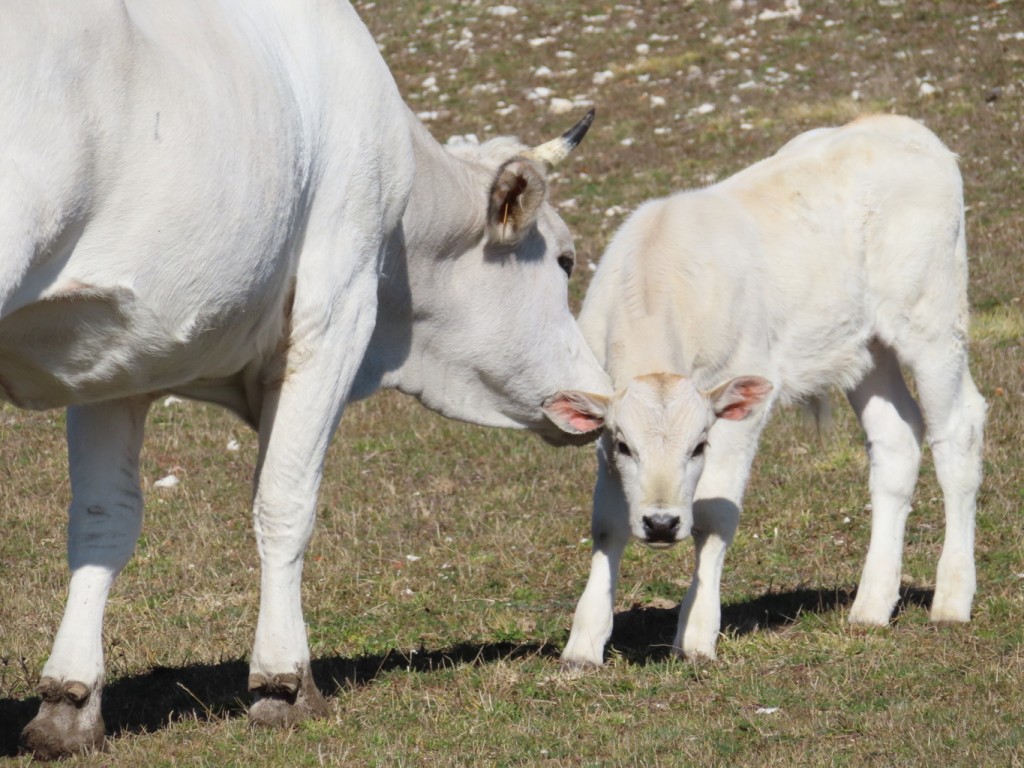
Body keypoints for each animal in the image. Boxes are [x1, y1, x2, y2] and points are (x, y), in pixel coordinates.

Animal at [2, 0, 606, 757]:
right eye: (565, 259)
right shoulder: (335, 310)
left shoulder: (114, 359)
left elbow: (102, 520)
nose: (602, 392)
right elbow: (286, 500)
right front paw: (283, 682)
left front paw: (69, 702)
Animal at [548, 112, 987, 667]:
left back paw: (952, 597)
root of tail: (901, 125)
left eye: (699, 446)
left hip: (932, 318)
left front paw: (696, 635)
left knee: (958, 429)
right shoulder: (604, 433)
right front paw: (584, 643)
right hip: (862, 346)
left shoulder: (741, 406)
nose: (663, 523)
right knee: (896, 438)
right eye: (627, 446)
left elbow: (714, 514)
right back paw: (871, 605)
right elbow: (607, 522)